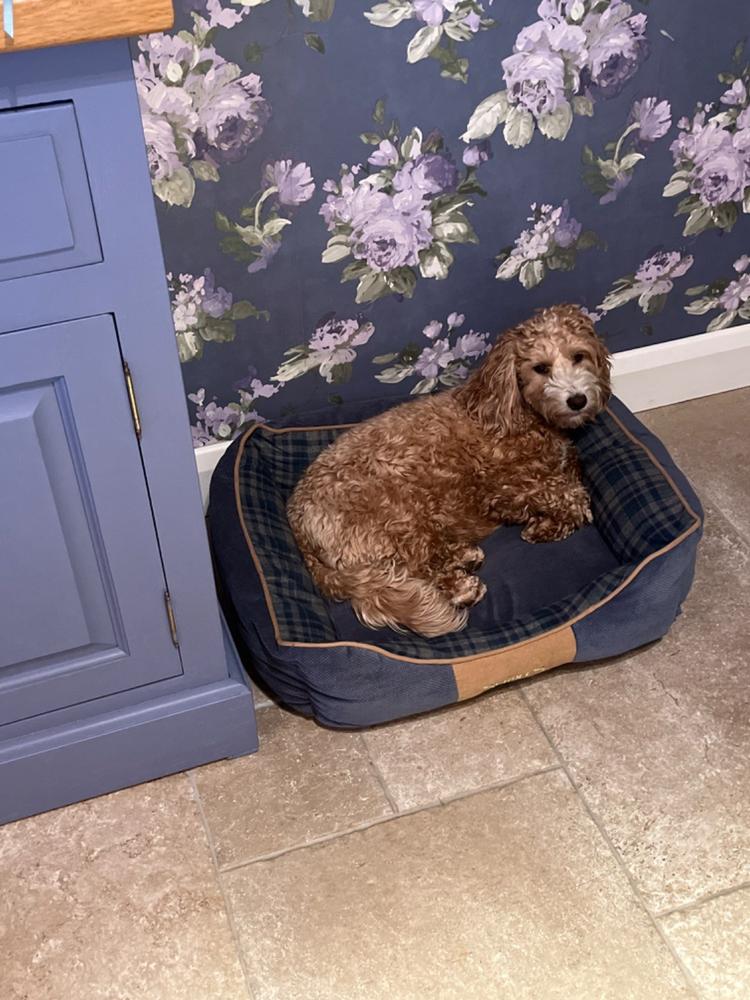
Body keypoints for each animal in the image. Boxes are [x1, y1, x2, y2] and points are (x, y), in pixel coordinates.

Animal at [286, 300, 612, 636]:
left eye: (578, 356)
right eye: (541, 368)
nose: (577, 400)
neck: (519, 412)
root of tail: (299, 528)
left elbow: (571, 473)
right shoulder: (503, 488)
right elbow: (572, 495)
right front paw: (547, 525)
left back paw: (464, 555)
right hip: (401, 517)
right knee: (416, 569)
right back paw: (463, 587)